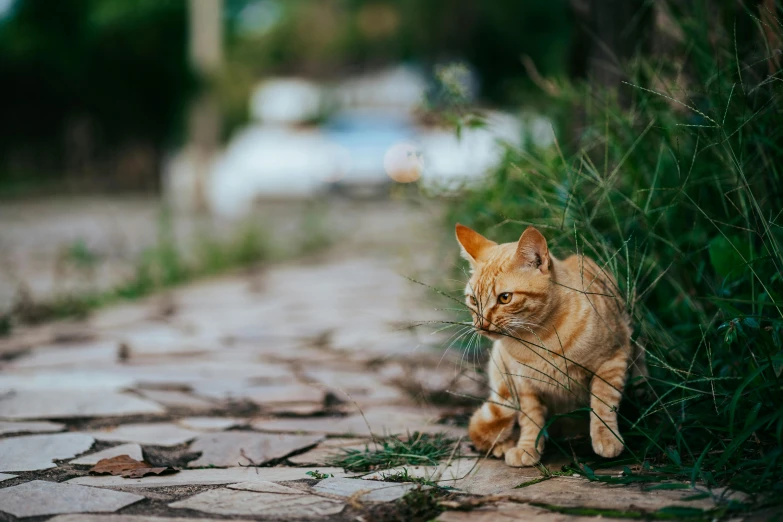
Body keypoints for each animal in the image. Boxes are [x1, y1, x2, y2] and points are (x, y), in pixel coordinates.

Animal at [456, 221, 648, 466]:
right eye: (473, 300)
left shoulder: (613, 359)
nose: (481, 324)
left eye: (505, 298)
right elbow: (530, 418)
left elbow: (603, 402)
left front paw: (606, 438)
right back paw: (505, 445)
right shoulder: (524, 384)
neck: (540, 339)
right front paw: (527, 448)